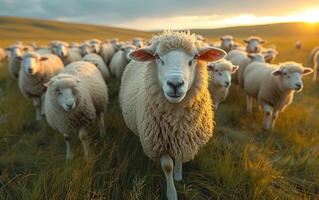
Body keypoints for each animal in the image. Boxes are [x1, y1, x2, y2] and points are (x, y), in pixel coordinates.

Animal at [120, 30, 228, 199]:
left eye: (195, 57)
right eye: (157, 56)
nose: (175, 84)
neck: (176, 121)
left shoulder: (184, 137)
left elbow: (179, 158)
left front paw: (178, 176)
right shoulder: (160, 143)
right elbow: (167, 166)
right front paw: (172, 193)